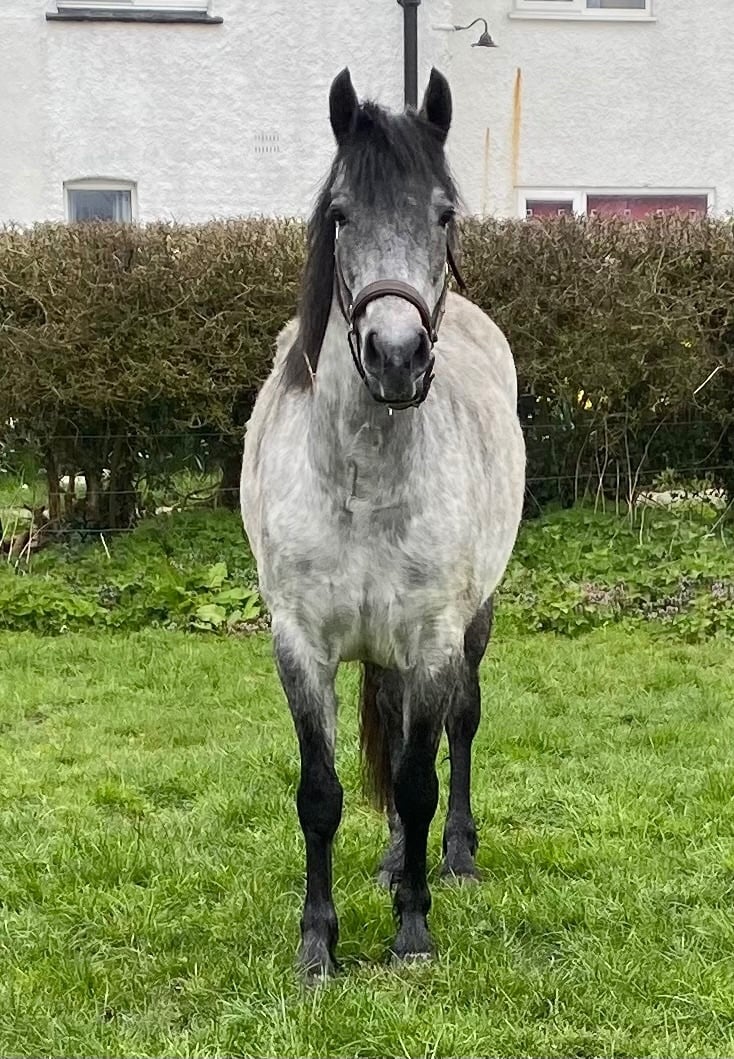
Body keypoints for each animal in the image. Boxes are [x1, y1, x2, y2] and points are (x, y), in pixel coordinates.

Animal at [241, 67, 525, 977]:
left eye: (444, 214)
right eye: (340, 214)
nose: (397, 355)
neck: (360, 480)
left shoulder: (433, 637)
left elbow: (417, 778)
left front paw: (412, 933)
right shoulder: (301, 644)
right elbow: (323, 793)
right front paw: (317, 946)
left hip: (473, 620)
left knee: (455, 730)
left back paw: (453, 855)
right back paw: (397, 857)